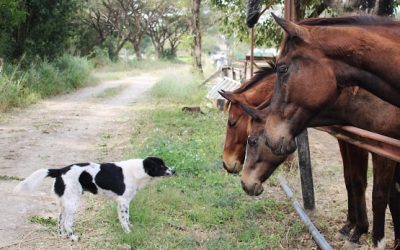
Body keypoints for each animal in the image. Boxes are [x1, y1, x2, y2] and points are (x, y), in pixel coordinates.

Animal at [14, 157, 174, 241]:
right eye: (161, 166)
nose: (174, 170)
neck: (138, 170)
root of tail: (60, 170)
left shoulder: (122, 203)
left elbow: (126, 219)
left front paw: (130, 228)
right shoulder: (123, 202)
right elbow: (125, 219)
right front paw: (128, 232)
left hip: (64, 203)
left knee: (59, 221)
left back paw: (62, 236)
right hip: (73, 203)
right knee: (67, 222)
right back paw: (73, 237)